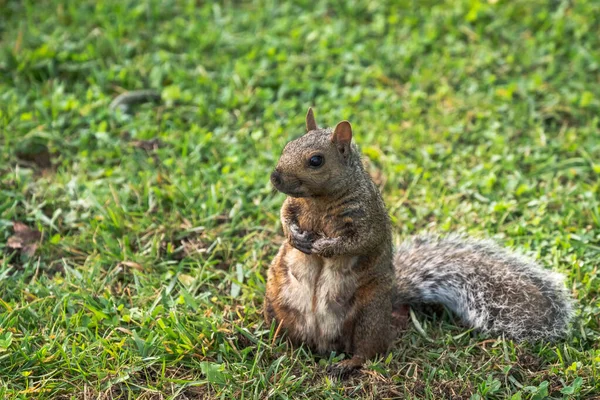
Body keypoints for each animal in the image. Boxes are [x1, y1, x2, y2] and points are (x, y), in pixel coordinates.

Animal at [264, 108, 576, 378]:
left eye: (316, 160)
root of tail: (321, 343)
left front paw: (324, 247)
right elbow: (285, 215)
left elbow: (357, 241)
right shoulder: (294, 205)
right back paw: (278, 350)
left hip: (368, 316)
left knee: (367, 351)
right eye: (288, 145)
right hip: (276, 303)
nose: (275, 177)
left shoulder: (367, 218)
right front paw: (293, 235)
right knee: (289, 337)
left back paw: (345, 364)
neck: (319, 200)